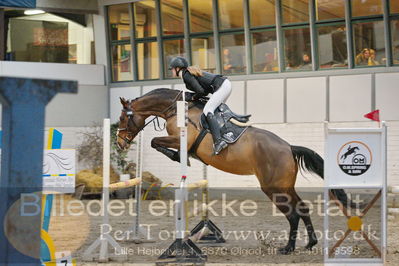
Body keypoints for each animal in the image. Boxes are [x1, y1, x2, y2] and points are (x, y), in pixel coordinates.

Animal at [116, 88, 354, 255]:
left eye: (122, 118)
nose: (119, 143)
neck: (176, 109)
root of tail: (288, 147)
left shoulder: (180, 139)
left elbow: (155, 141)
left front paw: (179, 157)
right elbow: (155, 142)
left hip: (273, 187)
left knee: (293, 214)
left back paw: (288, 248)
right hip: (285, 186)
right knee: (302, 208)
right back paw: (310, 243)